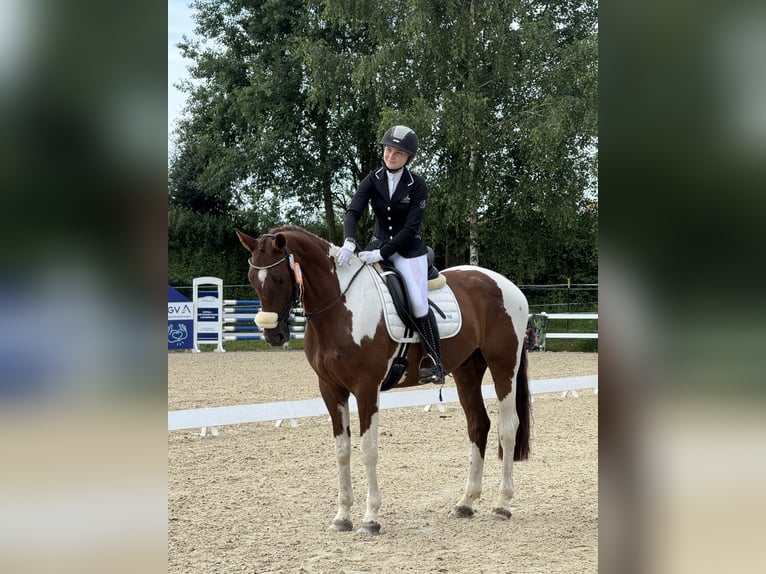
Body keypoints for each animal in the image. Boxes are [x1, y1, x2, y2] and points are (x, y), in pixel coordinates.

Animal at [235, 225, 531, 534]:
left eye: (280, 278)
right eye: (252, 279)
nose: (273, 334)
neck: (340, 307)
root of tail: (506, 285)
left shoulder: (366, 387)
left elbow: (368, 449)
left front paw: (370, 518)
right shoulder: (331, 388)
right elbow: (342, 450)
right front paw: (342, 517)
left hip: (504, 366)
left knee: (507, 428)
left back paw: (502, 505)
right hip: (467, 372)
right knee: (478, 425)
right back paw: (466, 502)